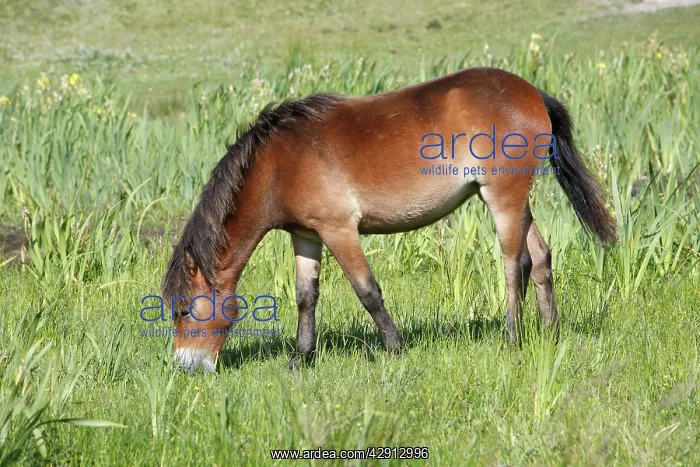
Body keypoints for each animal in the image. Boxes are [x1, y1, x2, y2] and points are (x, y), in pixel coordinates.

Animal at [162, 66, 616, 373]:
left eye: (183, 310)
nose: (185, 367)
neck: (278, 163)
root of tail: (532, 93)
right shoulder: (306, 235)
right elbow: (306, 297)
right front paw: (301, 358)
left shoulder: (339, 230)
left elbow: (368, 292)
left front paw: (395, 347)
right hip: (518, 203)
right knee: (540, 257)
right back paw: (550, 331)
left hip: (503, 199)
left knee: (513, 264)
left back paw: (512, 336)